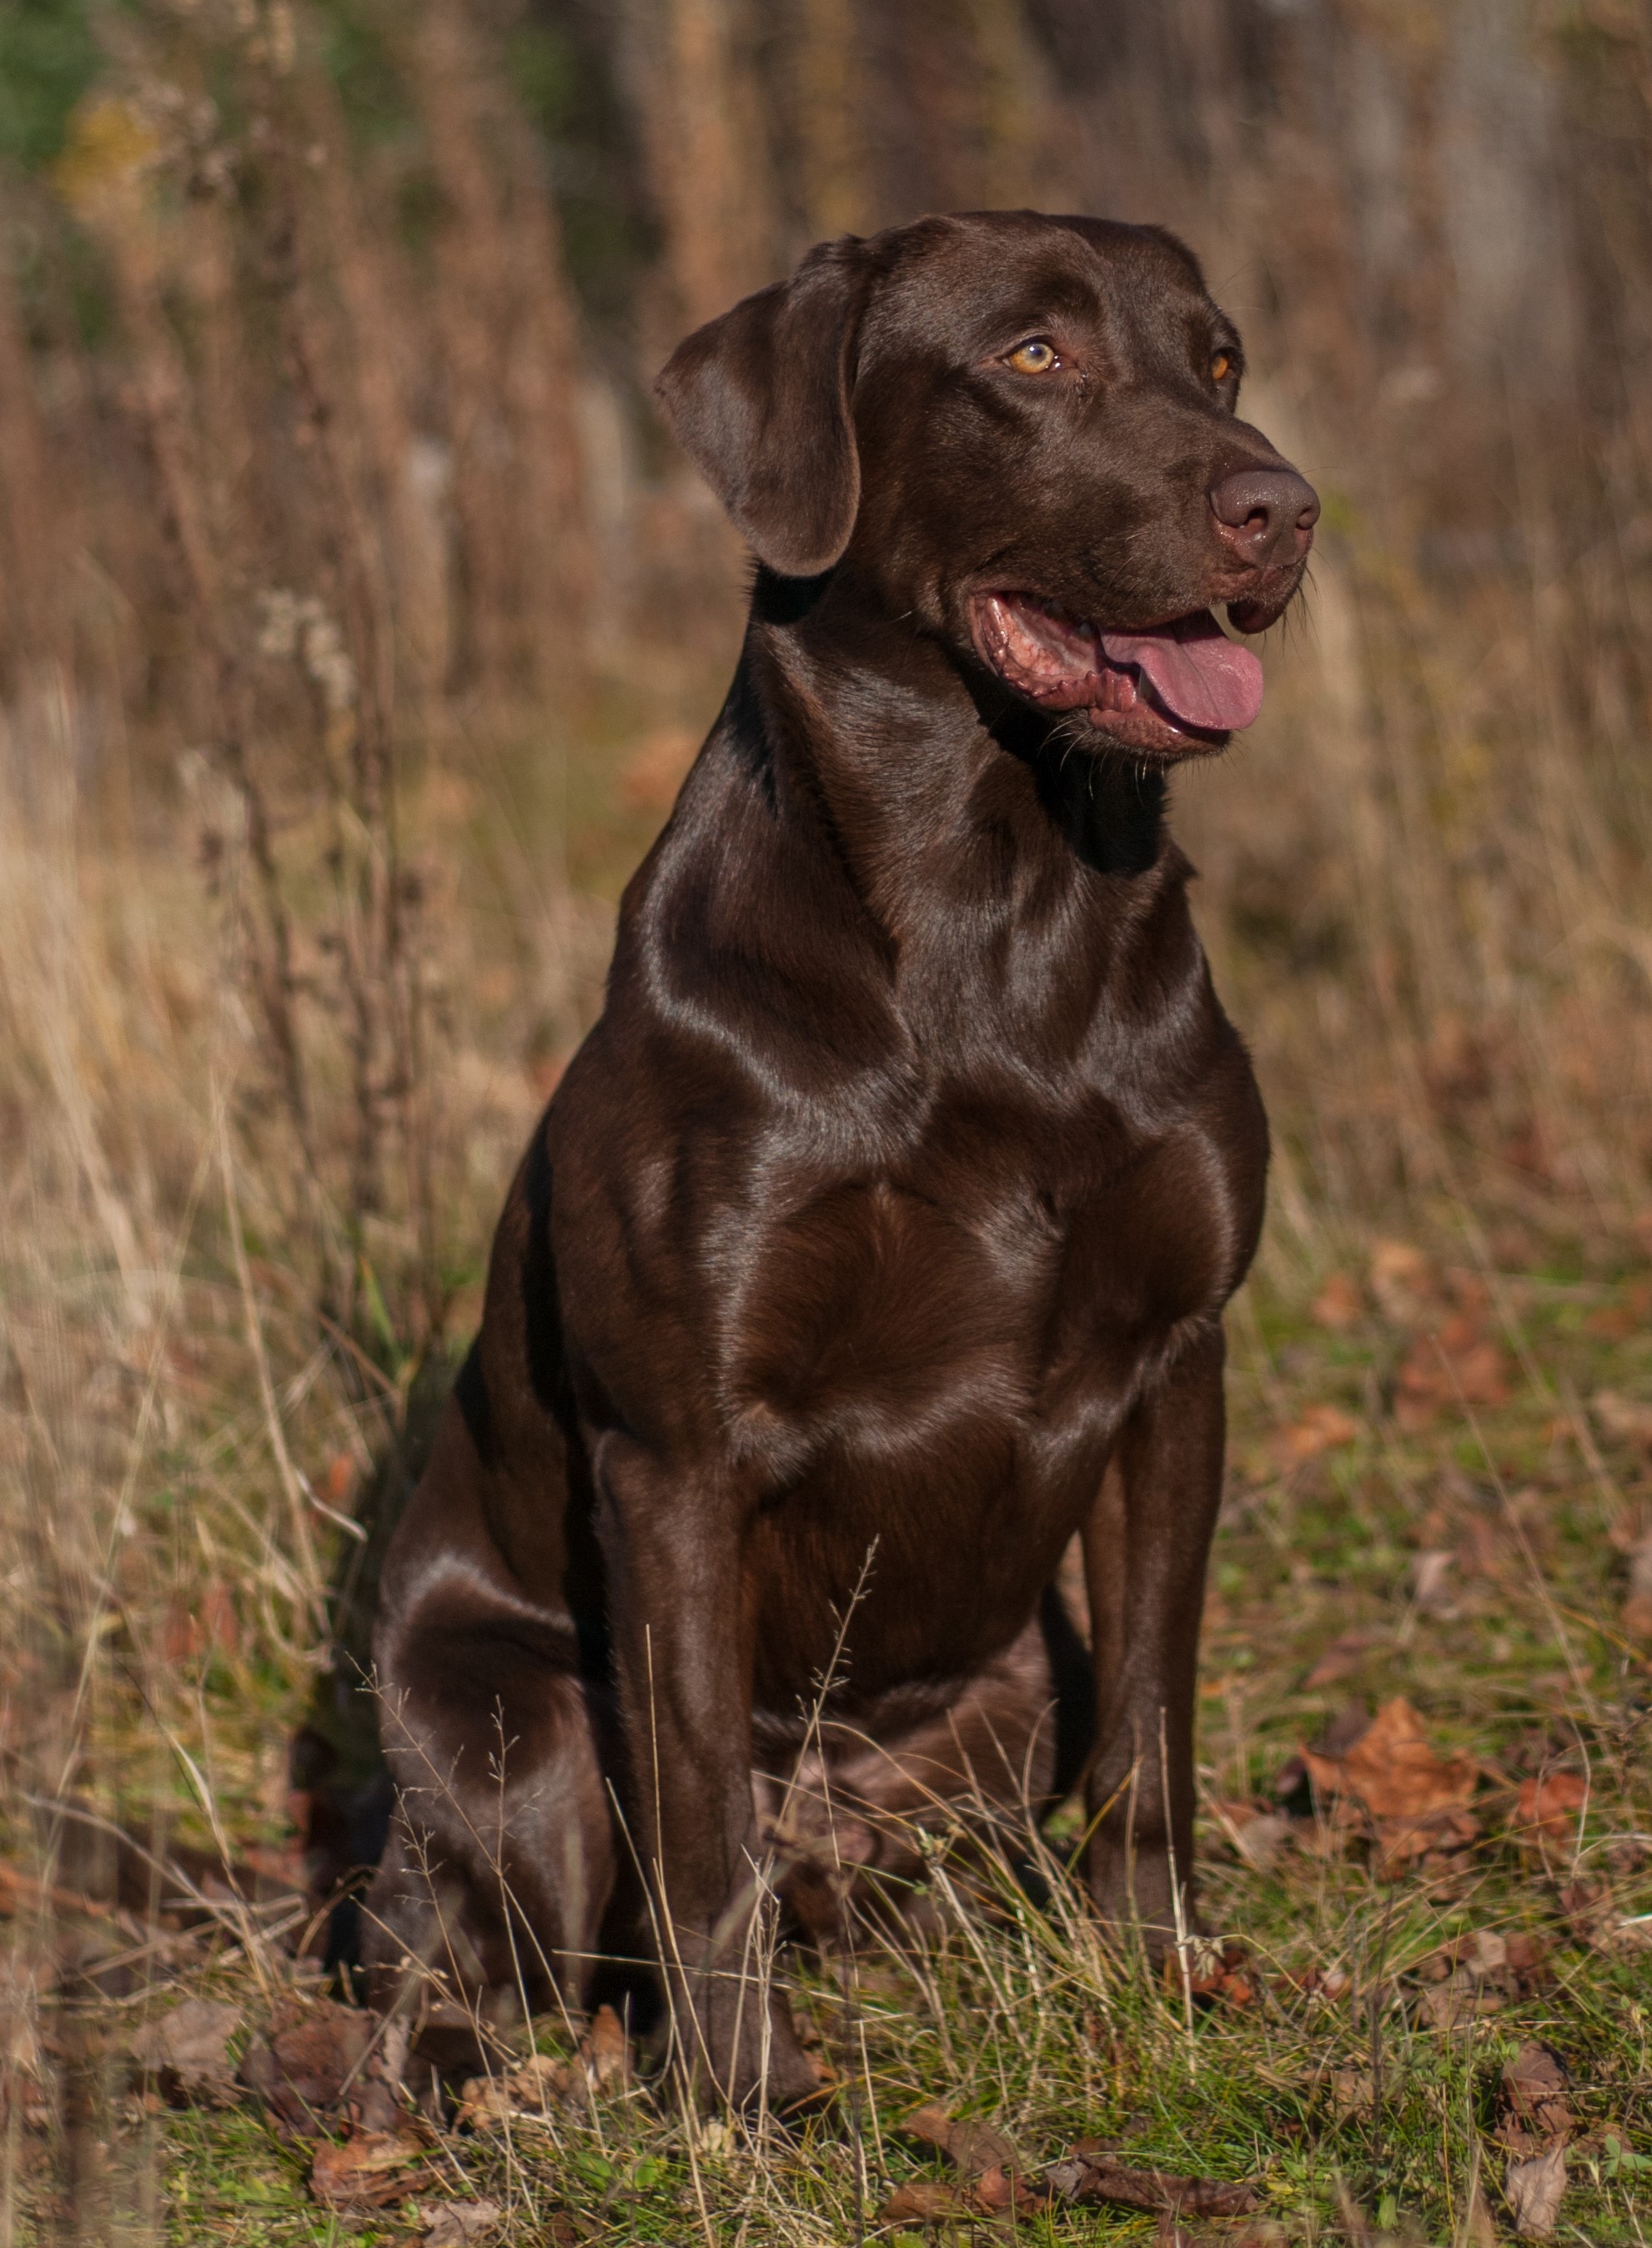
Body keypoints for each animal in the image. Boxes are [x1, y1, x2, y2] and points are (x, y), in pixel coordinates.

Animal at [361, 211, 1321, 2104]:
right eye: (1033, 357)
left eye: (1220, 359)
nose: (1288, 506)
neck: (996, 908)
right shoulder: (674, 1451)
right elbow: (699, 1823)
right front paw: (738, 2100)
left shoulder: (1179, 1360)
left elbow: (1153, 1721)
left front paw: (1155, 1973)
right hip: (501, 1717)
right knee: (497, 1946)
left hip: (1002, 1695)